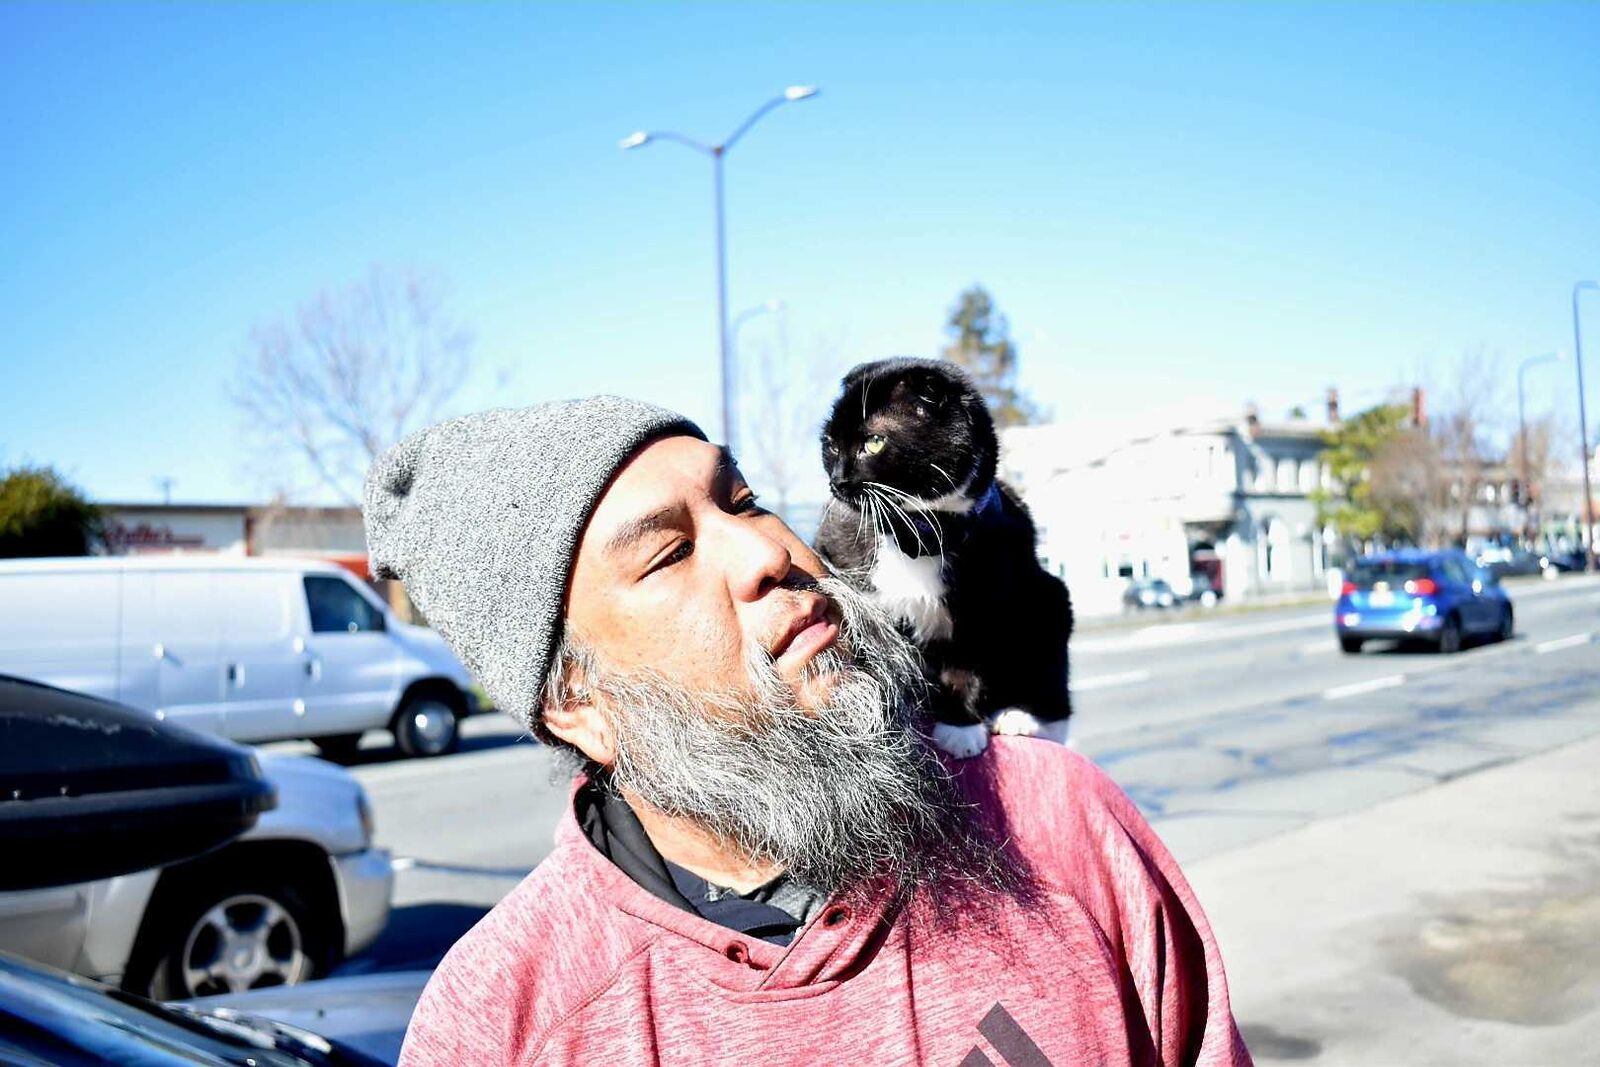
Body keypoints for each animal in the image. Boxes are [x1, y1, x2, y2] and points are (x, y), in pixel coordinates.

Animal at [812, 355, 1075, 755]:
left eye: (874, 442)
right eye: (829, 443)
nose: (836, 482)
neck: (918, 533)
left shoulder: (984, 604)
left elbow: (966, 664)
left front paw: (959, 729)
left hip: (1047, 597)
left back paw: (1021, 717)